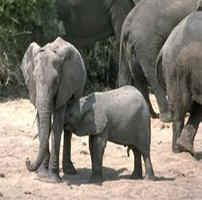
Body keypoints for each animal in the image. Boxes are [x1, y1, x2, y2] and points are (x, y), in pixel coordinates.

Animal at [20, 36, 87, 182]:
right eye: (34, 79)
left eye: (56, 81)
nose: (27, 160)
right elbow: (41, 123)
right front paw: (42, 175)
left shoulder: (64, 86)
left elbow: (56, 125)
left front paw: (52, 179)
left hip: (78, 88)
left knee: (68, 121)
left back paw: (69, 171)